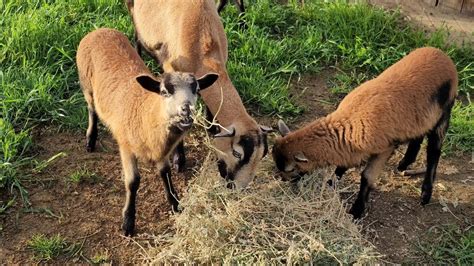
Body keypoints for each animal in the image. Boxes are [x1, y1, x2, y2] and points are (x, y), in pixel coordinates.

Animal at [77, 27, 218, 235]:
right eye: (164, 92)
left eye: (197, 90)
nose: (186, 110)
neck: (147, 113)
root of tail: (99, 30)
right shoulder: (126, 147)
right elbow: (133, 182)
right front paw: (128, 222)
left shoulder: (161, 151)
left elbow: (165, 174)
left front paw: (175, 204)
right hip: (86, 86)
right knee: (92, 109)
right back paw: (90, 140)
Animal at [272, 46, 458, 218]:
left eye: (290, 169)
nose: (282, 180)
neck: (350, 121)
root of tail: (442, 55)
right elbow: (342, 165)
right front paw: (332, 182)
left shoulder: (385, 148)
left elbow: (367, 177)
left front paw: (357, 210)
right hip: (420, 117)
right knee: (418, 136)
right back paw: (404, 164)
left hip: (444, 113)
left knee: (434, 151)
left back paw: (425, 194)